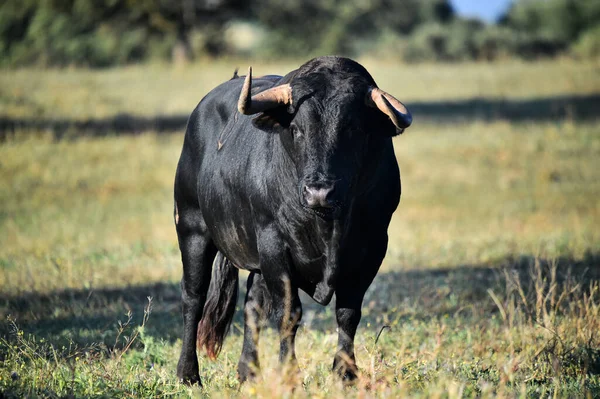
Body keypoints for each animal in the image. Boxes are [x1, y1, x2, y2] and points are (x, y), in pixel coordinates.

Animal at [173, 54, 412, 386]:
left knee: (252, 304)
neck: (328, 223)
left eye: (352, 128)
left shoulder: (372, 247)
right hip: (191, 226)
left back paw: (249, 371)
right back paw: (188, 373)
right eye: (297, 129)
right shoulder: (274, 243)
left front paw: (345, 373)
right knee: (193, 297)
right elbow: (288, 312)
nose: (319, 192)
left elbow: (348, 312)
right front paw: (288, 374)